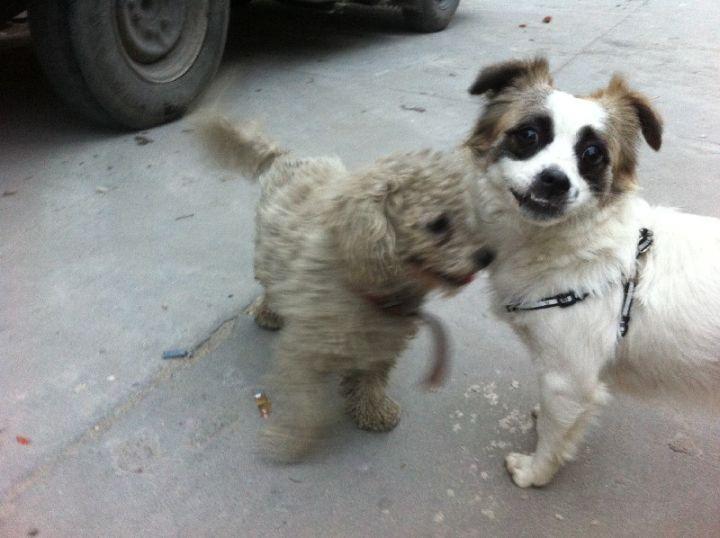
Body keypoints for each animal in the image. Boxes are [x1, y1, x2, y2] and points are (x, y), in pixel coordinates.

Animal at [201, 118, 493, 461]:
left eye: (471, 214)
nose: (486, 256)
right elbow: (304, 401)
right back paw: (270, 311)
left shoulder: (382, 341)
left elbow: (371, 379)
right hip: (266, 253)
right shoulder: (304, 348)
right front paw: (290, 439)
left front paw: (372, 410)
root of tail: (288, 157)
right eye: (438, 224)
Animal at [463, 58, 720, 487]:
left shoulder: (568, 380)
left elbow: (554, 435)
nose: (554, 180)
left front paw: (535, 472)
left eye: (593, 154)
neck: (576, 248)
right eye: (529, 134)